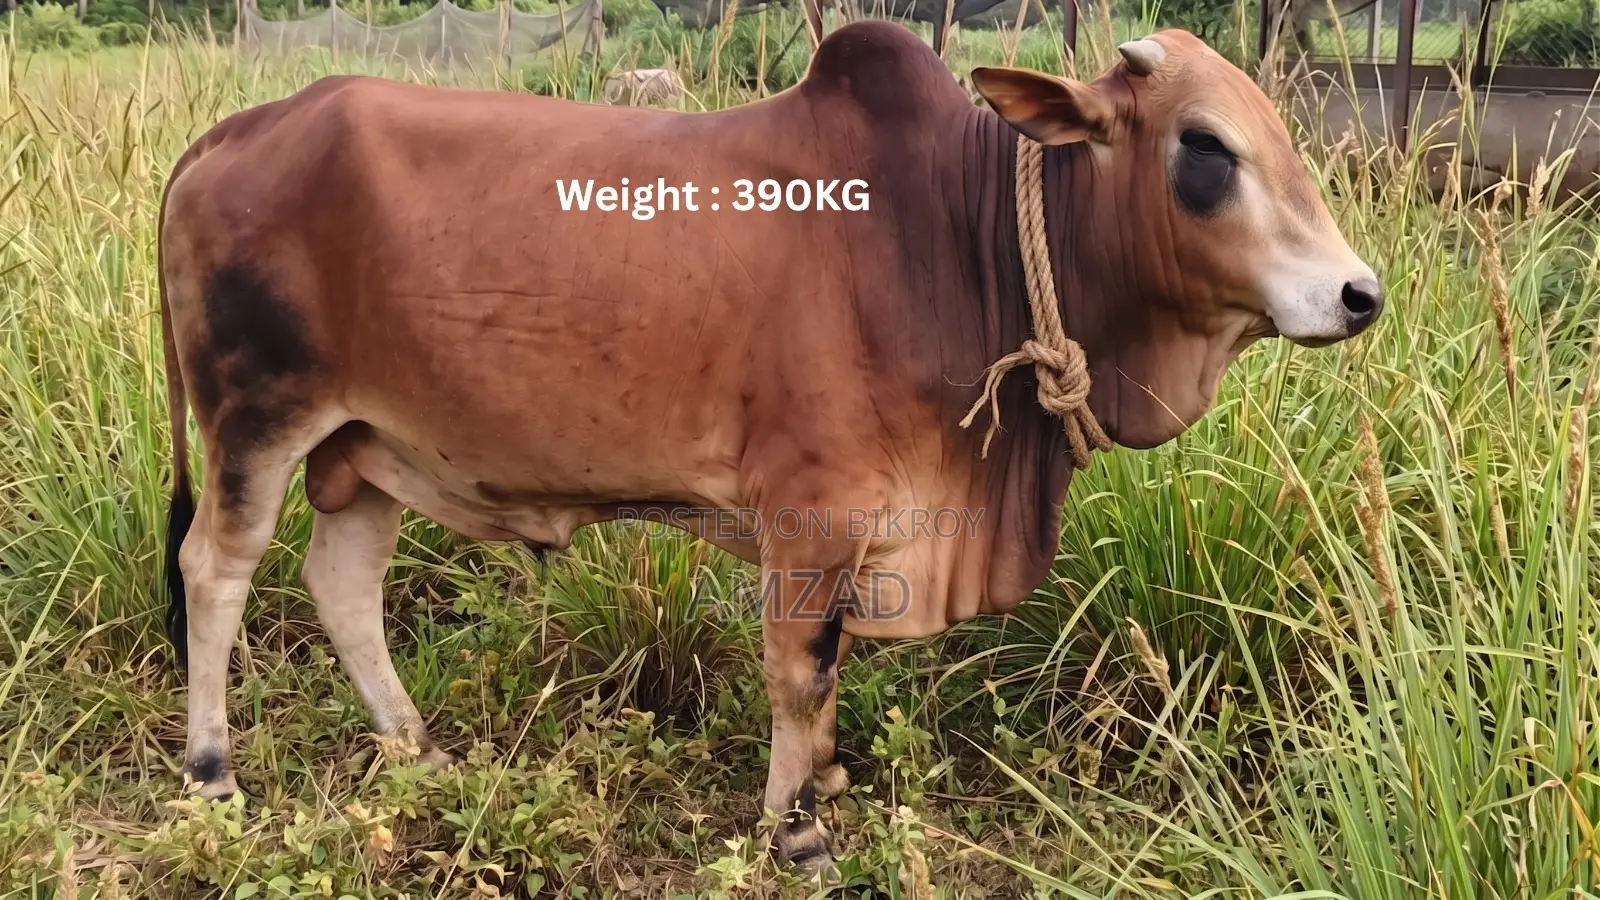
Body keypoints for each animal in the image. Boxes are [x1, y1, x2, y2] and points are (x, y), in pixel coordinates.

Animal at [157, 21, 1382, 876]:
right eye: (1204, 147)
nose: (1357, 295)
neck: (953, 235)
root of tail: (234, 132)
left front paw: (824, 788)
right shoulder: (814, 513)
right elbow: (805, 671)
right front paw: (797, 830)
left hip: (366, 444)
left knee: (340, 581)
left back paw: (415, 744)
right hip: (257, 418)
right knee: (215, 570)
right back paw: (213, 775)